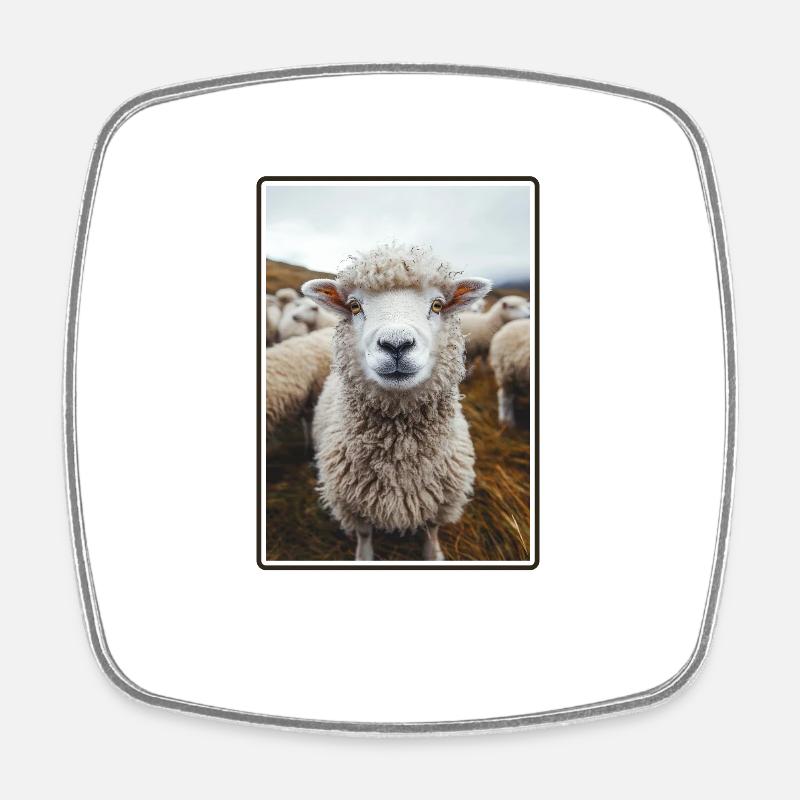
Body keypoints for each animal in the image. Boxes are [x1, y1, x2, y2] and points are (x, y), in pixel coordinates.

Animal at [302, 243, 491, 561]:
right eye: (354, 306)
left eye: (437, 305)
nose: (396, 345)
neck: (400, 452)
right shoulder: (353, 503)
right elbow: (365, 534)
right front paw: (364, 557)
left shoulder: (439, 500)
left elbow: (431, 530)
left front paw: (433, 555)